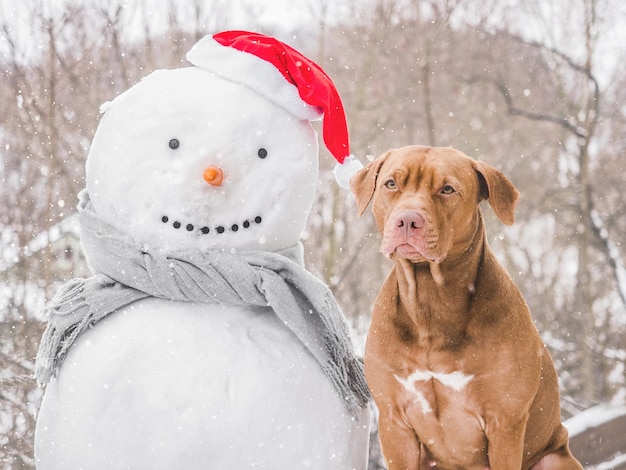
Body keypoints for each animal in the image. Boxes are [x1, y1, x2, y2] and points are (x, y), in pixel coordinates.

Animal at [352, 145, 580, 468]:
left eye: (448, 189)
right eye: (391, 184)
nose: (407, 220)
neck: (430, 301)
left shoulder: (504, 422)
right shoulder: (394, 422)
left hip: (553, 458)